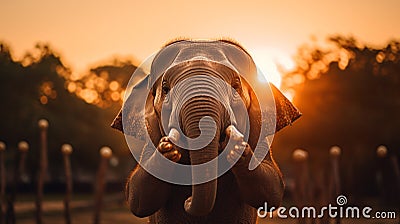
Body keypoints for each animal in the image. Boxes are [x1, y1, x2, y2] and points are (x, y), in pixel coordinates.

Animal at [111, 39, 302, 223]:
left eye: (236, 86)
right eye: (165, 89)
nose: (187, 202)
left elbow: (272, 188)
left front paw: (234, 146)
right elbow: (137, 195)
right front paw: (170, 147)